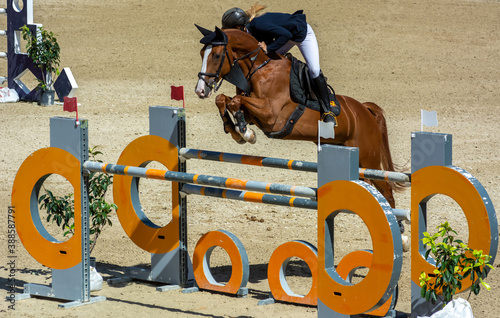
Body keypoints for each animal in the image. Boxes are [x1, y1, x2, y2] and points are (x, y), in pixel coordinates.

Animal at [193, 26, 404, 206]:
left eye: (217, 55)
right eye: (202, 53)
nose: (200, 91)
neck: (261, 67)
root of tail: (365, 111)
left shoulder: (272, 116)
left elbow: (236, 101)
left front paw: (245, 133)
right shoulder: (255, 114)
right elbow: (224, 99)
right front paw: (236, 129)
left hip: (368, 159)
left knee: (386, 190)